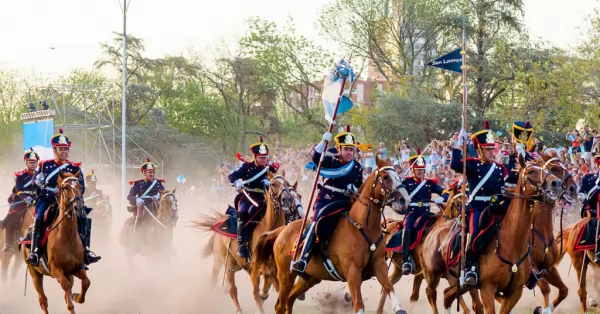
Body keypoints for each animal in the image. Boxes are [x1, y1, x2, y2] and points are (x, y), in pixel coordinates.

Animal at [21, 172, 92, 314]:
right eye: (65, 187)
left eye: (80, 186)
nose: (78, 207)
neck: (67, 237)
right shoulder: (55, 269)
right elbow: (66, 289)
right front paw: (72, 302)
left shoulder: (76, 267)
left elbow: (86, 283)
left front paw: (77, 297)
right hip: (34, 273)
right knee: (43, 300)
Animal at [192, 172, 300, 314]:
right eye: (273, 184)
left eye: (287, 183)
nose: (286, 199)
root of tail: (220, 220)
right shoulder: (262, 266)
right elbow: (270, 284)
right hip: (225, 262)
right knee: (229, 287)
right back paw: (236, 308)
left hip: (241, 266)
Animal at [251, 158, 410, 314]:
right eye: (386, 177)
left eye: (398, 175)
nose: (405, 199)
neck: (362, 226)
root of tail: (282, 230)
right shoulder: (352, 272)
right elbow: (358, 305)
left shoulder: (379, 265)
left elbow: (390, 289)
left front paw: (398, 308)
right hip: (286, 275)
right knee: (280, 305)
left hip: (309, 278)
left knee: (289, 300)